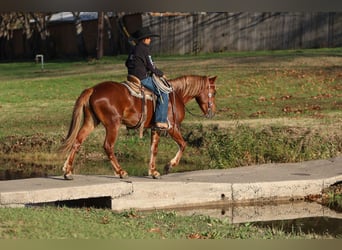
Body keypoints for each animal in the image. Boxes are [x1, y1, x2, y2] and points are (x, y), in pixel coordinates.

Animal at [59, 74, 216, 180]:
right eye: (214, 92)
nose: (212, 112)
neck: (176, 95)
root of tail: (93, 89)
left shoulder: (156, 129)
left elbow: (154, 149)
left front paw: (153, 171)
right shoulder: (172, 128)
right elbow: (183, 144)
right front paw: (169, 166)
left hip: (91, 122)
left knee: (77, 142)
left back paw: (67, 171)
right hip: (113, 125)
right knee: (108, 146)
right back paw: (121, 172)